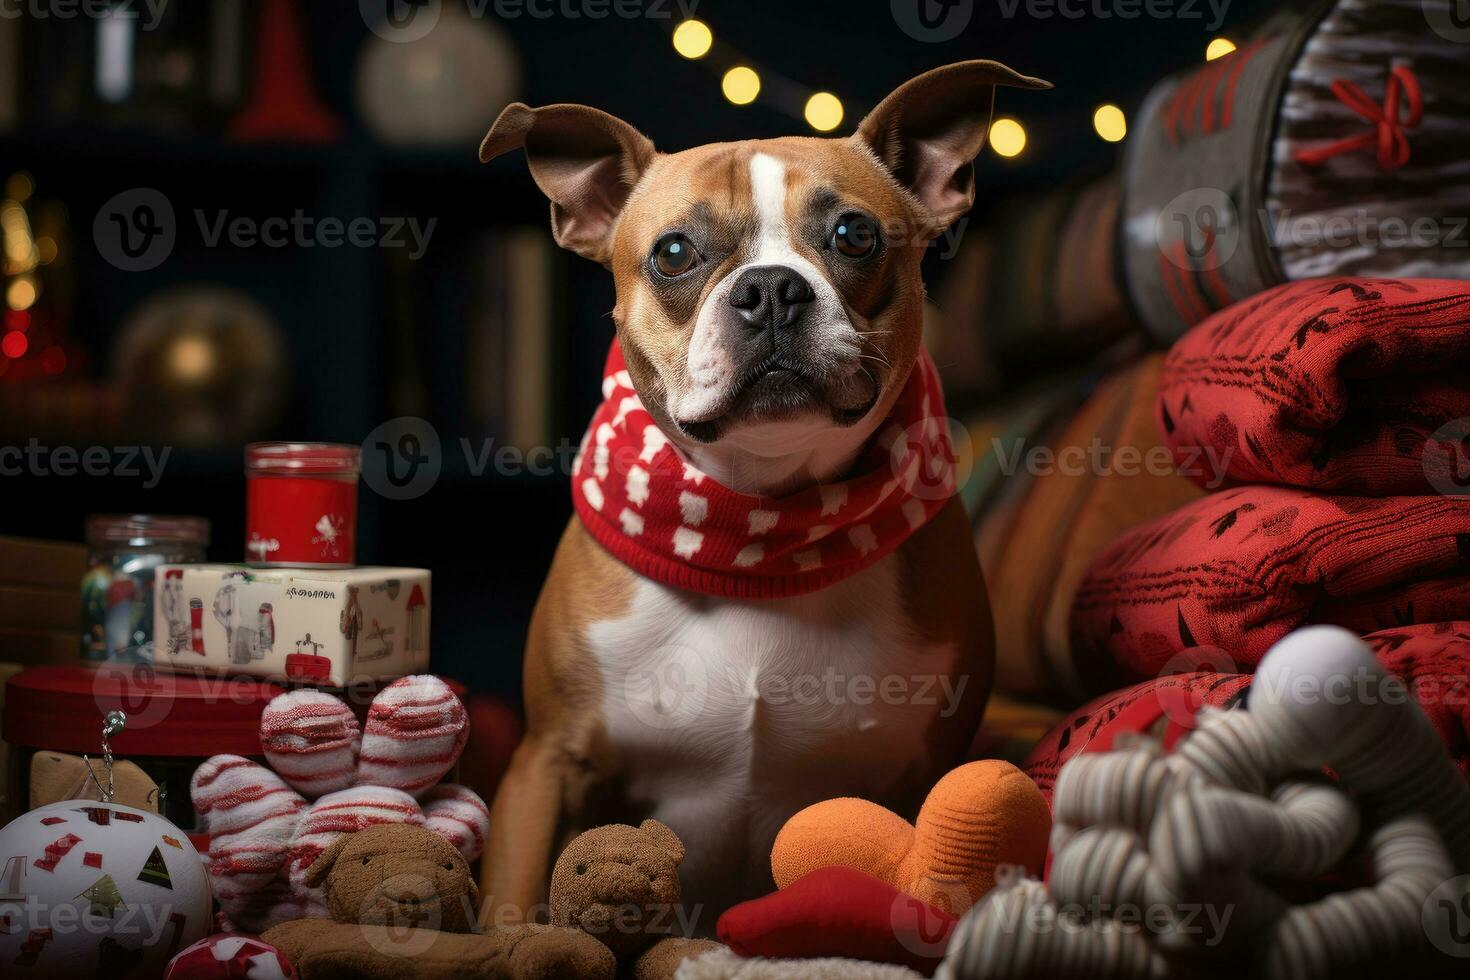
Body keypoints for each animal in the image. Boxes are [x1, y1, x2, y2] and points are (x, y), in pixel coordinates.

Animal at [479, 59, 1046, 928]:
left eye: (855, 236)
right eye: (675, 251)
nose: (772, 288)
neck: (756, 523)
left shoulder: (928, 767)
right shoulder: (545, 765)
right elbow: (509, 902)